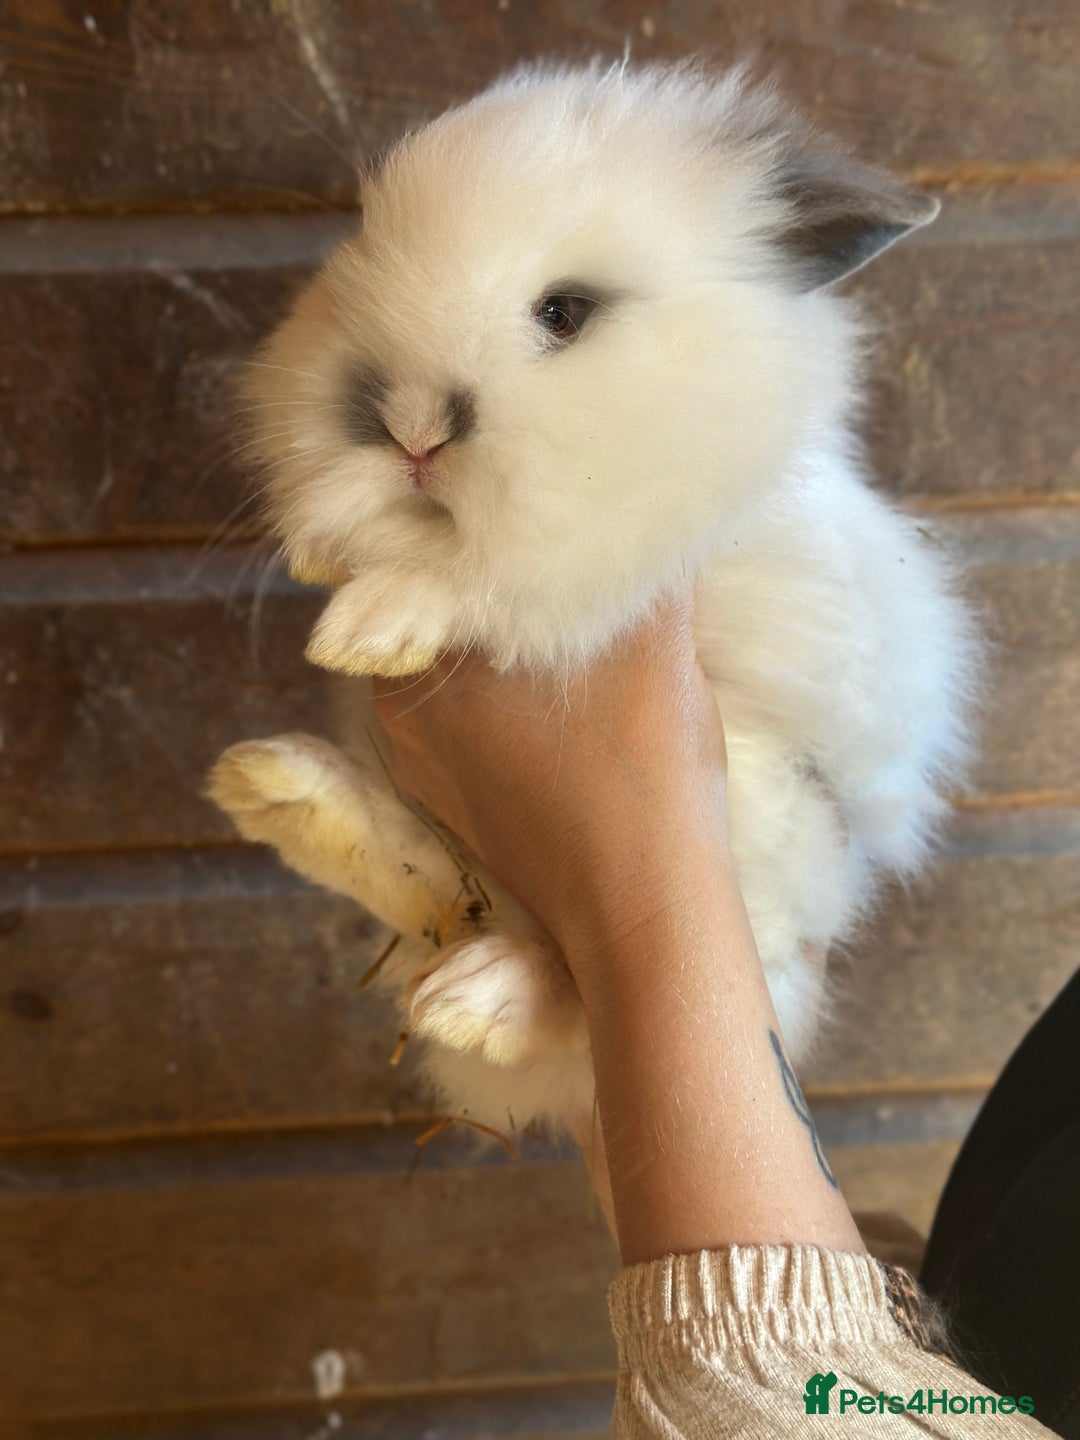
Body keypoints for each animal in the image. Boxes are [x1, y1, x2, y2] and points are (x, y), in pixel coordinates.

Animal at [208, 59, 979, 1142]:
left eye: (564, 313)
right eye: (362, 247)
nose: (405, 427)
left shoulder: (623, 545)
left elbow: (505, 576)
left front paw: (372, 625)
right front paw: (325, 557)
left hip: (765, 851)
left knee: (590, 988)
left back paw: (482, 1000)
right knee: (433, 889)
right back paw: (278, 790)